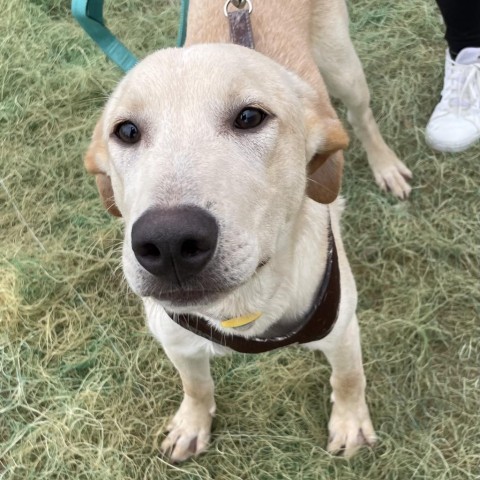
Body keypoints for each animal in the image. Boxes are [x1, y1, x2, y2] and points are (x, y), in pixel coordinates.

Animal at [82, 0, 402, 464]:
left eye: (250, 117)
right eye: (125, 131)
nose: (169, 242)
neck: (242, 306)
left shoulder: (343, 328)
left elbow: (348, 380)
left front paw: (350, 423)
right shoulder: (176, 341)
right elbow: (196, 386)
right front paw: (192, 424)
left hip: (344, 69)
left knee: (363, 117)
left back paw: (386, 165)